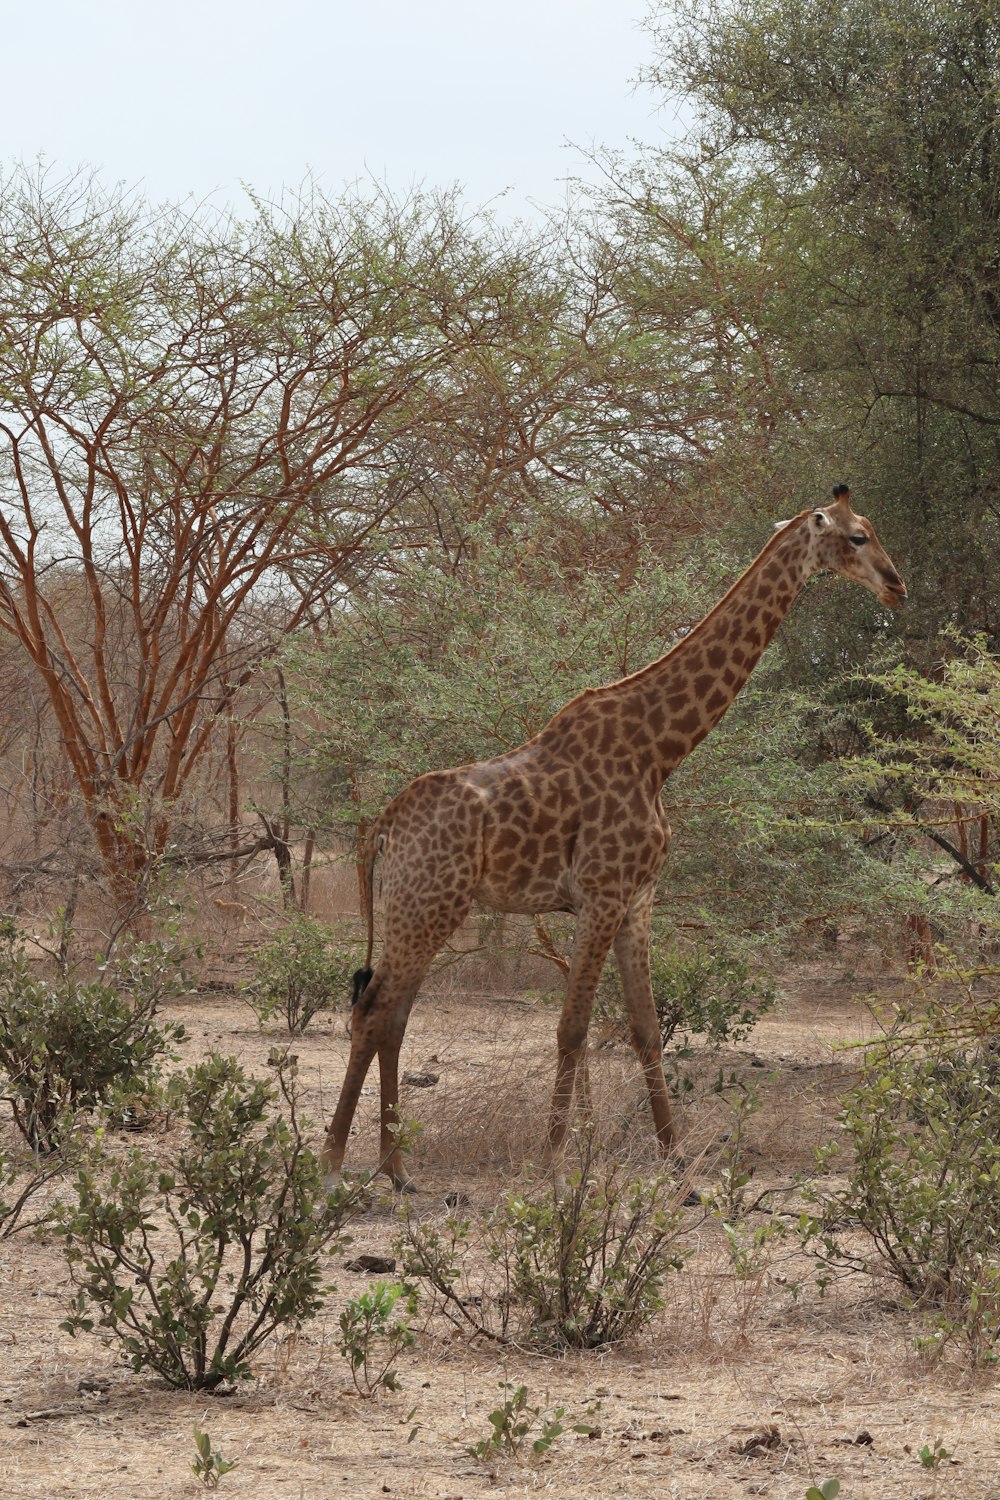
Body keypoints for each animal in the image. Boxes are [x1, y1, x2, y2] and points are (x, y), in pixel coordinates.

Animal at [322, 486, 905, 1188]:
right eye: (856, 537)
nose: (897, 586)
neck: (660, 750)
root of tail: (384, 826)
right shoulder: (601, 894)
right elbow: (572, 1027)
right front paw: (554, 1164)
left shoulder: (637, 899)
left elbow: (646, 1028)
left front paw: (675, 1160)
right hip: (428, 903)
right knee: (375, 1010)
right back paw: (333, 1164)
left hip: (418, 907)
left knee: (394, 1014)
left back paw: (397, 1169)